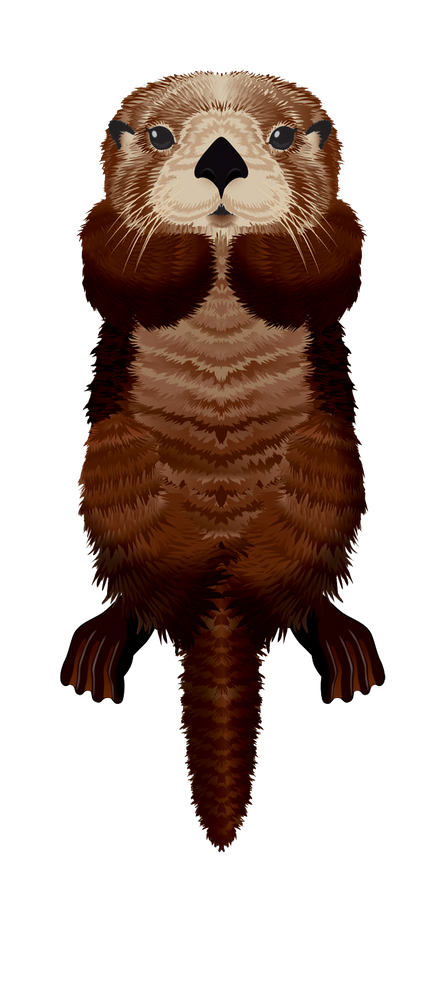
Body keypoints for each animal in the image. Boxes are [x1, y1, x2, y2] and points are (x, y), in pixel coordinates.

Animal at [59, 68, 386, 853]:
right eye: (159, 136)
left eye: (280, 136)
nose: (219, 166)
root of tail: (220, 592)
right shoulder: (98, 234)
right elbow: (117, 271)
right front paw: (182, 241)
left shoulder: (343, 233)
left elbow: (326, 271)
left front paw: (257, 243)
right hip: (112, 464)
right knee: (134, 597)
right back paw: (99, 644)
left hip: (330, 465)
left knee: (308, 595)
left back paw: (344, 646)